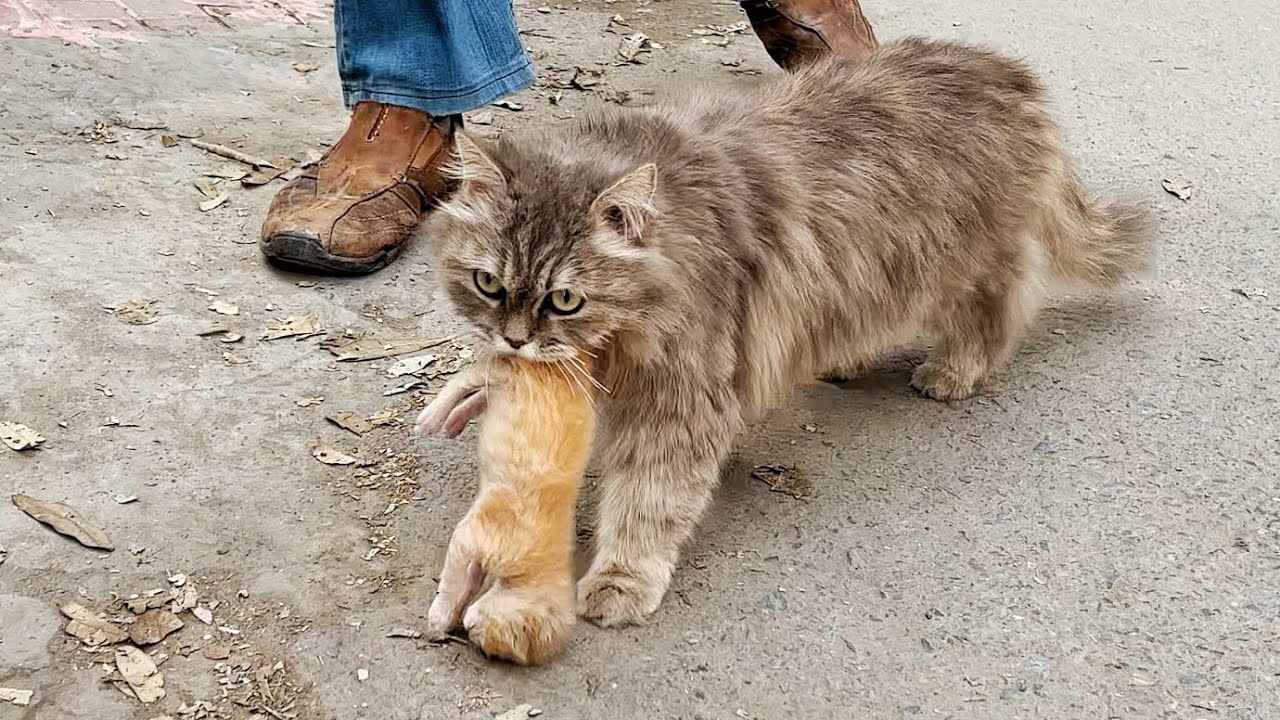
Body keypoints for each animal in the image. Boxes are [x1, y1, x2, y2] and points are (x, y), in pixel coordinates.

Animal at [414, 37, 1157, 622]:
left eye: (565, 299)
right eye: (488, 285)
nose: (513, 340)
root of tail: (1006, 71)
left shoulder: (680, 404)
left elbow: (649, 502)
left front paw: (621, 577)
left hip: (958, 265)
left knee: (1000, 308)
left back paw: (954, 370)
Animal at [419, 351, 599, 661]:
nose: (469, 629)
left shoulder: (478, 553)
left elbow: (470, 580)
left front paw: (454, 613)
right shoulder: (471, 538)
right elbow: (452, 581)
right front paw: (439, 618)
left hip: (507, 388)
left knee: (482, 392)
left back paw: (455, 420)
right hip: (508, 373)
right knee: (468, 378)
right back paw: (432, 417)